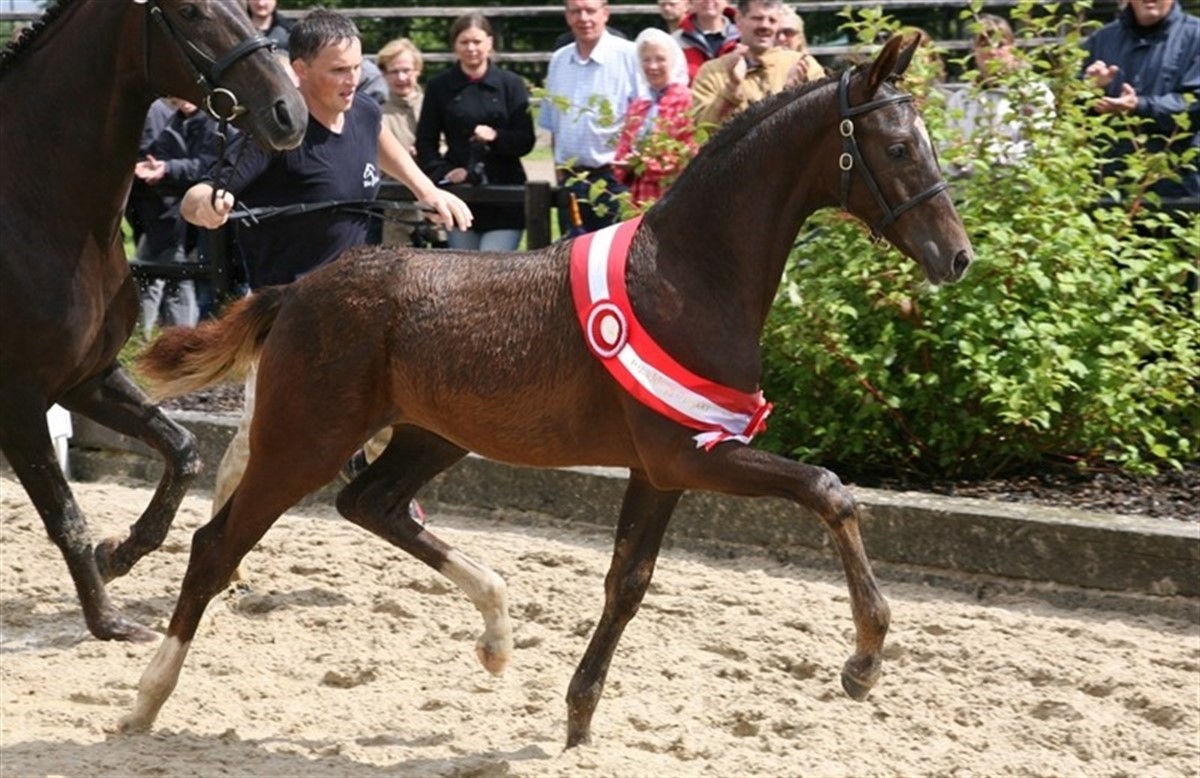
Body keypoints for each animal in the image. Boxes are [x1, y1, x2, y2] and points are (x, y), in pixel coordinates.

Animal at [0, 0, 305, 643]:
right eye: (189, 11)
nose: (288, 111)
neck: (33, 207)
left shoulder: (86, 379)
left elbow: (183, 450)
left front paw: (119, 554)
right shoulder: (18, 401)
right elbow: (66, 515)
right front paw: (108, 620)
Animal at [120, 35, 972, 745]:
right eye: (899, 146)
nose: (957, 256)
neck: (687, 278)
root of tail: (297, 290)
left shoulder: (661, 469)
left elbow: (628, 582)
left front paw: (578, 718)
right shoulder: (694, 454)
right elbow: (829, 489)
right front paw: (864, 660)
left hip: (430, 434)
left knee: (372, 504)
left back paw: (498, 635)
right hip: (305, 438)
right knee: (218, 544)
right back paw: (145, 698)